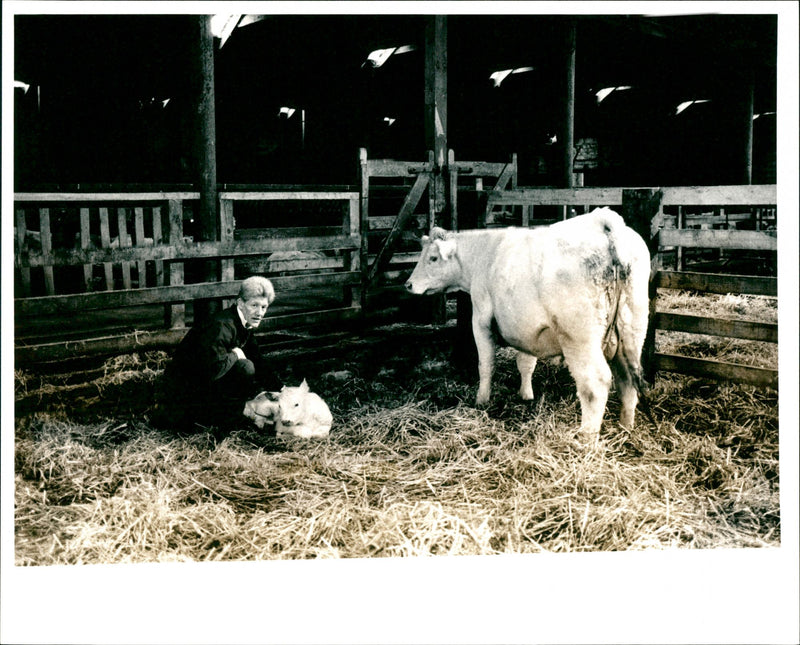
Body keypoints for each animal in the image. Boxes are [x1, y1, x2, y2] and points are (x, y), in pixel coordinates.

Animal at [406, 209, 648, 436]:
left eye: (433, 258)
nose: (408, 284)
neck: (485, 254)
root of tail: (605, 221)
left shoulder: (481, 319)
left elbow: (486, 364)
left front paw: (482, 400)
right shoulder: (526, 329)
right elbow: (525, 363)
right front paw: (526, 395)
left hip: (580, 339)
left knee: (595, 385)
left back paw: (586, 438)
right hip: (632, 334)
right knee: (627, 380)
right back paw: (626, 429)